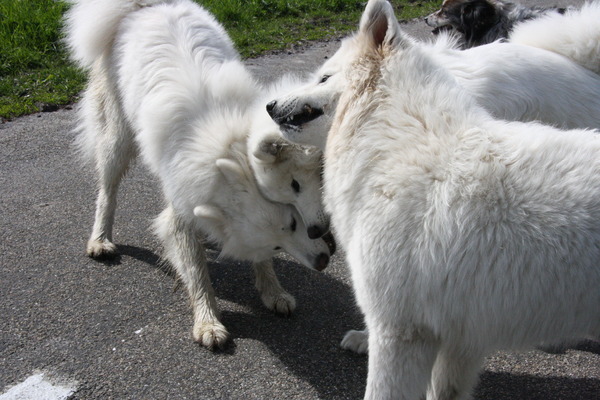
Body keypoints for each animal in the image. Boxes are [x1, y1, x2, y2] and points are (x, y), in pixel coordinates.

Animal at [65, 0, 332, 348]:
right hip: (119, 140)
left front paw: (273, 293)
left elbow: (256, 265)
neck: (228, 149)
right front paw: (208, 323)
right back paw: (100, 240)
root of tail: (143, 6)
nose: (323, 261)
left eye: (291, 225)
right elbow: (196, 272)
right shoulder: (180, 212)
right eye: (282, 238)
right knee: (107, 192)